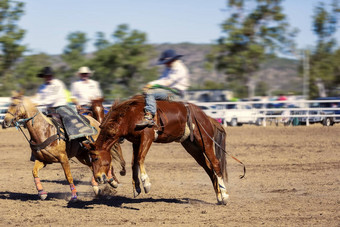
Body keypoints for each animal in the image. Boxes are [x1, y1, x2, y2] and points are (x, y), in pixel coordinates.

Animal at [84, 95, 243, 205]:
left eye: (96, 158)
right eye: (90, 160)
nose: (98, 178)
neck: (129, 116)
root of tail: (206, 117)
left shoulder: (147, 136)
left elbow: (140, 158)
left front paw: (146, 183)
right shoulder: (136, 141)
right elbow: (134, 162)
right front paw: (136, 187)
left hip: (205, 141)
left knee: (215, 165)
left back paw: (225, 196)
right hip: (192, 147)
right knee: (209, 169)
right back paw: (219, 196)